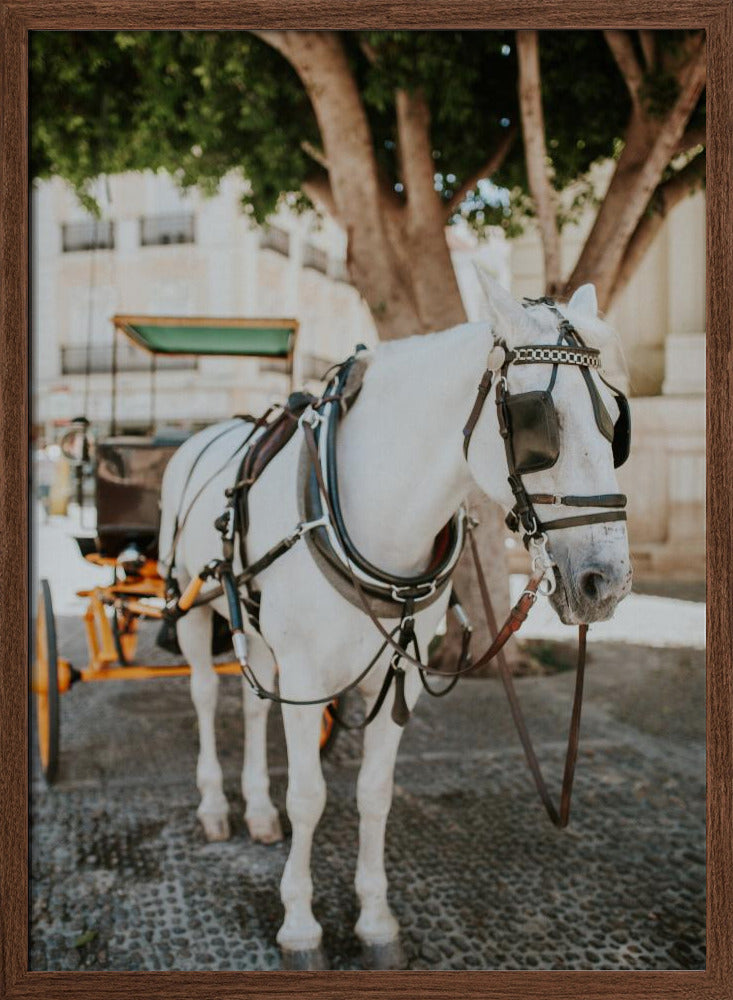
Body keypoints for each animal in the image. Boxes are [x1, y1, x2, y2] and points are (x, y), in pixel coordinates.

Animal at [159, 280, 628, 968]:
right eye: (537, 420)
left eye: (616, 424)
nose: (607, 582)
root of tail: (203, 434)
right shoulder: (307, 673)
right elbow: (311, 796)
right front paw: (300, 925)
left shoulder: (399, 668)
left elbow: (374, 794)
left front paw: (376, 920)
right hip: (192, 608)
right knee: (201, 695)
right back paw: (217, 805)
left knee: (252, 705)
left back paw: (259, 812)